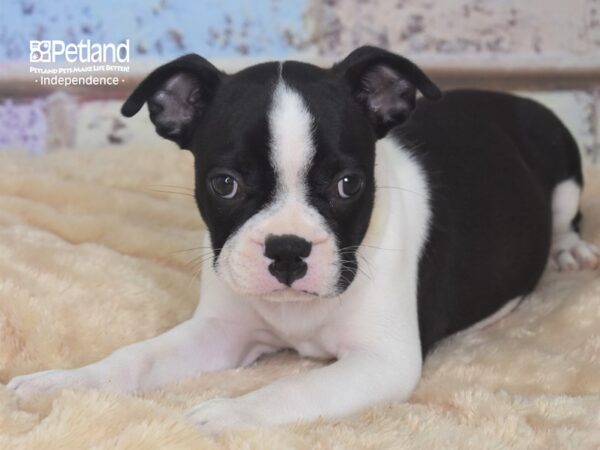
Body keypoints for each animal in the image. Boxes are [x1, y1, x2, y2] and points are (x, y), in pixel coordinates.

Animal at [7, 44, 596, 432]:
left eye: (348, 184)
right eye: (225, 184)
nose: (288, 249)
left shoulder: (381, 361)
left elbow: (296, 385)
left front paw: (227, 414)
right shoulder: (220, 332)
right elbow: (137, 359)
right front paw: (65, 381)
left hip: (560, 161)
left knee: (566, 216)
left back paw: (570, 250)